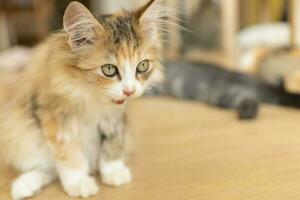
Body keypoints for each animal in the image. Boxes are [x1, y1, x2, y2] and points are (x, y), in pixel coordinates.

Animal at [0, 0, 168, 199]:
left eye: (142, 65)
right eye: (109, 69)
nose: (129, 91)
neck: (93, 97)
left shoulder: (116, 118)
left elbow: (113, 144)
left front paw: (113, 172)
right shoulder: (52, 117)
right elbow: (68, 155)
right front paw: (78, 183)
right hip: (24, 135)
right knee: (47, 166)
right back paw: (23, 186)